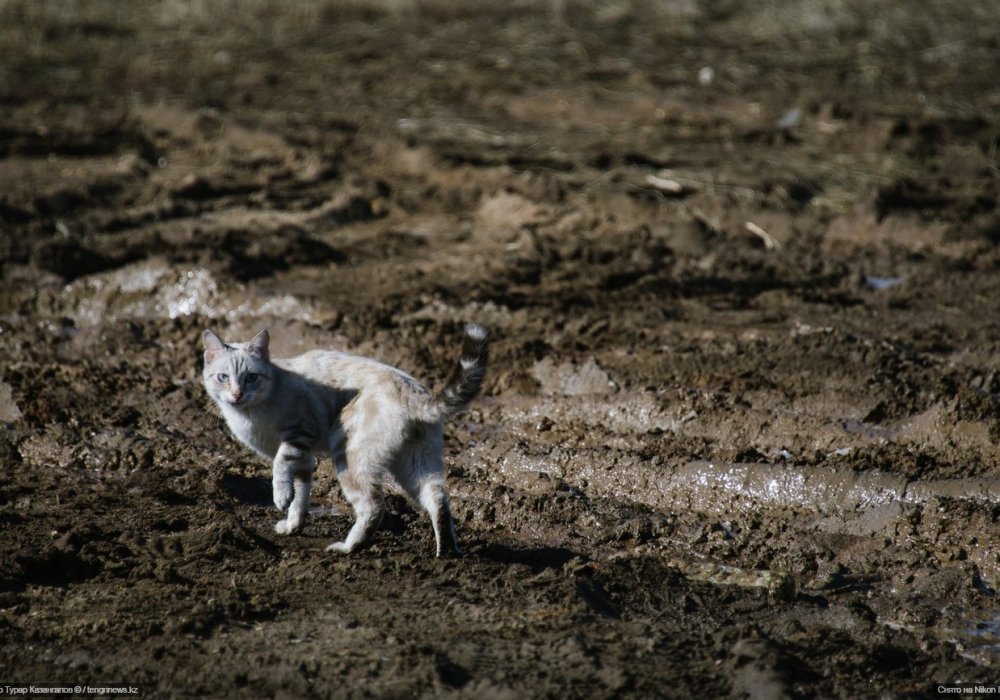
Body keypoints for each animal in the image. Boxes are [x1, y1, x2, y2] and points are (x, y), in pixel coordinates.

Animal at [200, 322, 488, 556]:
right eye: (223, 377)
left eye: (251, 377)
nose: (237, 395)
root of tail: (412, 393)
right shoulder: (305, 458)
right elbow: (301, 495)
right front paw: (293, 525)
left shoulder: (299, 435)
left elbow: (281, 469)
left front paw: (280, 498)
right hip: (417, 463)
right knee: (438, 500)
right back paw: (447, 552)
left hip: (350, 458)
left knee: (374, 506)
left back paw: (348, 548)